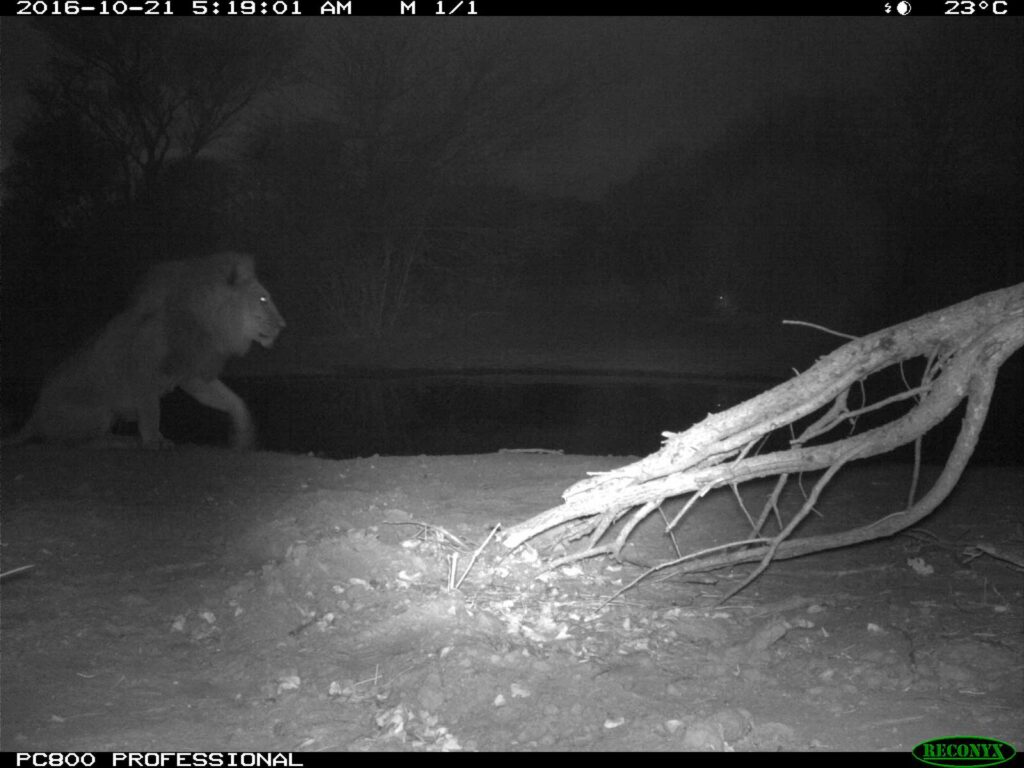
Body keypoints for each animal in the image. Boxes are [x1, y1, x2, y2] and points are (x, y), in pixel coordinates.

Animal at [10, 252, 285, 450]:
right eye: (263, 299)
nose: (284, 325)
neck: (207, 322)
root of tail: (34, 416)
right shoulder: (144, 371)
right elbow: (152, 411)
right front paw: (155, 440)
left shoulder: (192, 375)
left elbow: (231, 399)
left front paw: (244, 434)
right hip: (98, 412)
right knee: (75, 442)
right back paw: (120, 441)